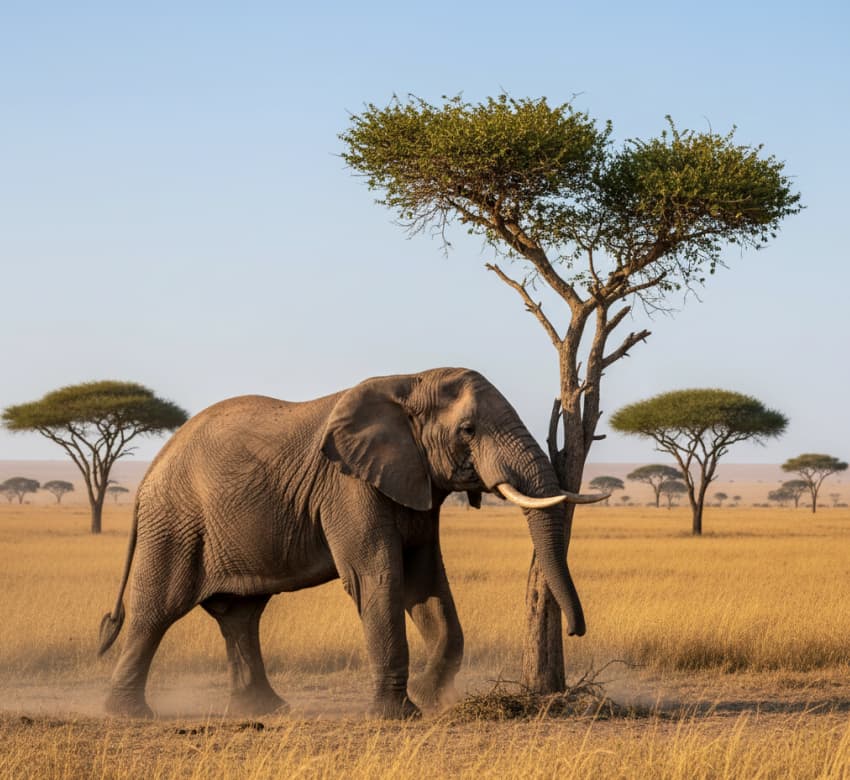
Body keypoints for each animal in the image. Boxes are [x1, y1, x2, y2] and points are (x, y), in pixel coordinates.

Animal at [98, 367, 602, 719]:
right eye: (468, 430)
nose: (575, 631)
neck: (409, 380)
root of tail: (150, 470)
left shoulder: (414, 481)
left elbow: (425, 584)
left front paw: (428, 697)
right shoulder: (348, 486)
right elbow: (377, 577)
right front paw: (399, 716)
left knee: (239, 616)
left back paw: (266, 710)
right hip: (175, 523)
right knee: (157, 610)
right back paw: (130, 714)